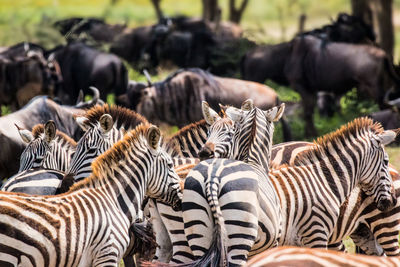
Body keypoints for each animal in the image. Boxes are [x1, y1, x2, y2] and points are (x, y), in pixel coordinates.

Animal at [184, 102, 396, 266]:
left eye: (230, 133)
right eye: (385, 161)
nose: (390, 201)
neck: (323, 179)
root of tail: (212, 177)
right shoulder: (314, 234)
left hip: (200, 236)